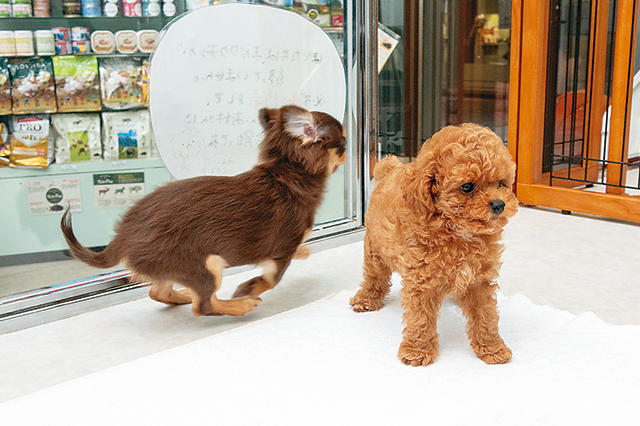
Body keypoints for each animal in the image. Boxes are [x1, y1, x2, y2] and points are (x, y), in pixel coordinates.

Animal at [61, 104, 344, 316]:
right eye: (343, 141)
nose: (346, 149)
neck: (289, 172)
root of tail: (123, 237)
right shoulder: (282, 249)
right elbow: (271, 279)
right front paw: (247, 290)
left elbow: (298, 251)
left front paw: (304, 251)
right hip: (205, 266)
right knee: (204, 306)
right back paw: (239, 305)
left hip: (170, 267)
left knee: (158, 291)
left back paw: (184, 295)